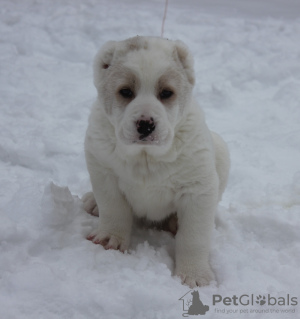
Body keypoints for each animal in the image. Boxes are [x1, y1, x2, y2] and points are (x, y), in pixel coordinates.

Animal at [82, 36, 230, 288]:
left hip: (221, 151)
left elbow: (194, 236)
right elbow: (113, 209)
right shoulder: (103, 171)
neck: (145, 155)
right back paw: (92, 202)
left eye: (166, 93)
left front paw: (194, 275)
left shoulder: (198, 189)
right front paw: (110, 239)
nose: (145, 124)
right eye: (126, 91)